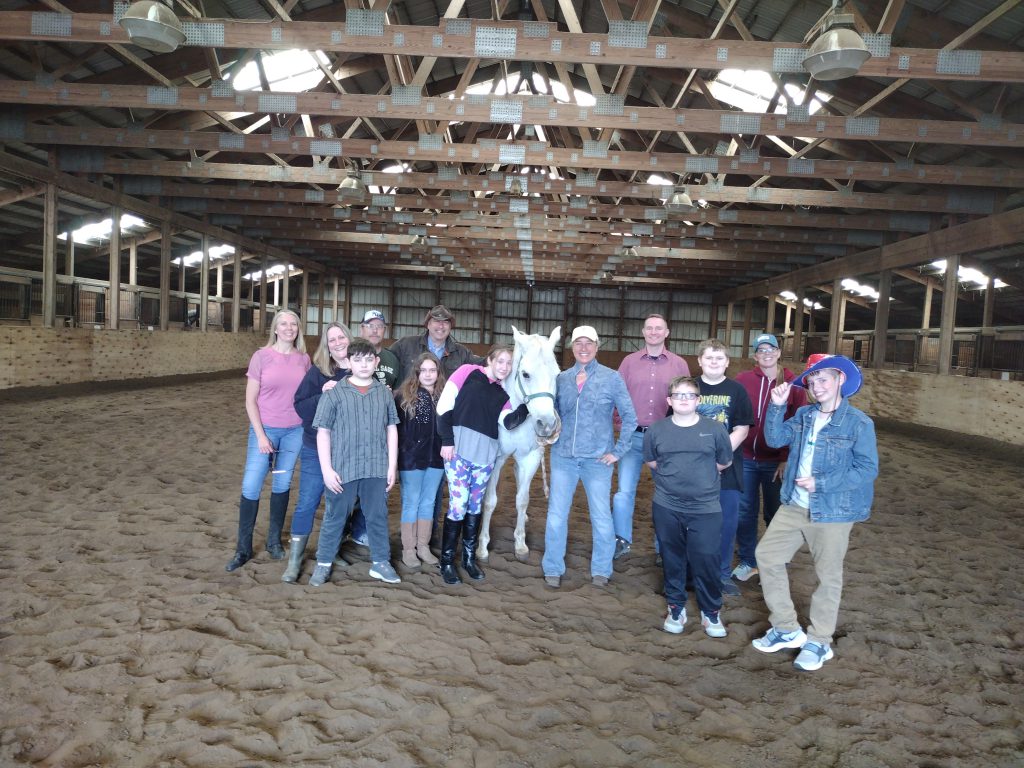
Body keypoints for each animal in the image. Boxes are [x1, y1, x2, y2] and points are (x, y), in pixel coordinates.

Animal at [477, 325, 561, 565]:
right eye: (525, 374)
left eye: (557, 374)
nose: (546, 424)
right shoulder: (494, 459)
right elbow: (490, 501)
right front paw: (482, 547)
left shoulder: (530, 457)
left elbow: (522, 500)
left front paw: (521, 544)